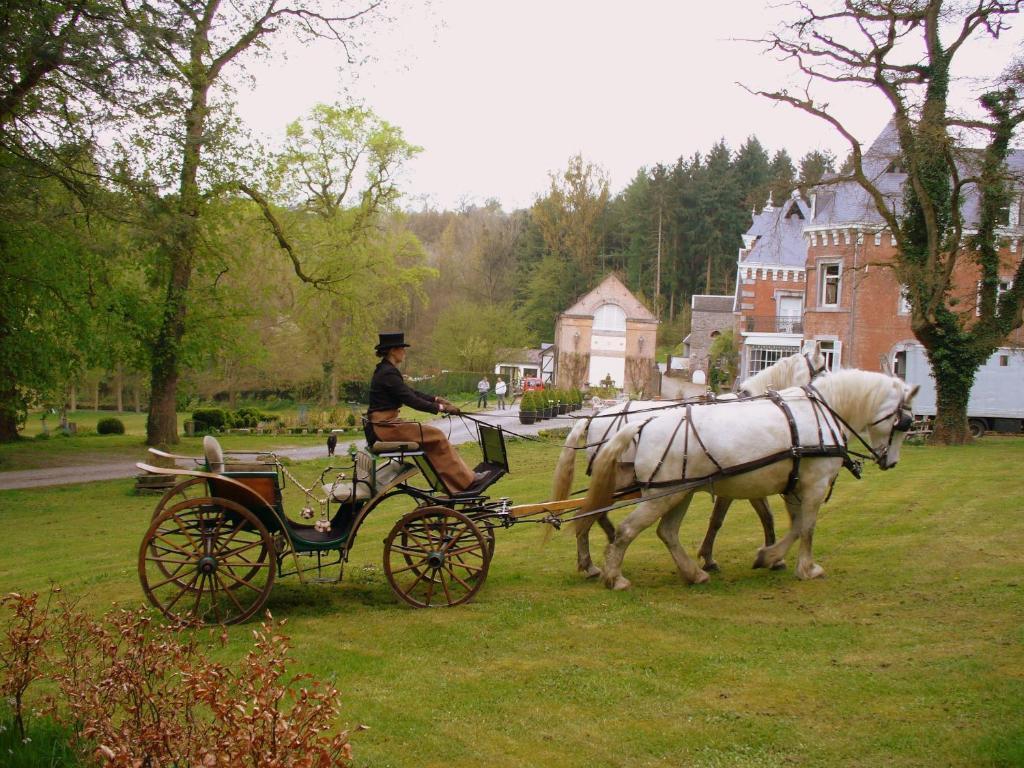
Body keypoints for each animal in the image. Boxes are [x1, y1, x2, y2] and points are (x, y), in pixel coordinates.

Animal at [552, 342, 823, 577]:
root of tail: (594, 417)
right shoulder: (743, 480)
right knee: (593, 510)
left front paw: (767, 556)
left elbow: (747, 518)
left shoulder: (745, 480)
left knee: (595, 510)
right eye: (823, 368)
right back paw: (595, 559)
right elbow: (737, 519)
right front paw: (770, 558)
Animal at [577, 370, 921, 593]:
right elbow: (806, 527)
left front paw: (770, 556)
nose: (891, 462)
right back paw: (613, 577)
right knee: (625, 529)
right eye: (904, 422)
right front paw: (804, 567)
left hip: (678, 492)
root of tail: (645, 422)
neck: (821, 414)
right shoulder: (814, 485)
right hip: (663, 495)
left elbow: (793, 525)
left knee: (665, 532)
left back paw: (692, 574)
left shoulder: (793, 487)